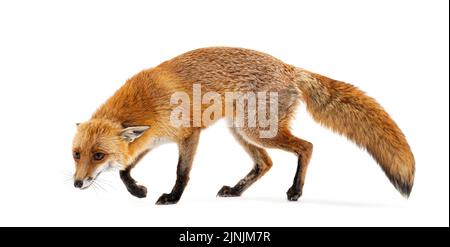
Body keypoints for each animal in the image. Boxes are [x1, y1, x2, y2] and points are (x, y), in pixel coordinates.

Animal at [71, 46, 414, 205]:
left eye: (98, 156)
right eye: (77, 155)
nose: (76, 183)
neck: (148, 102)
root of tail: (289, 67)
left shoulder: (189, 134)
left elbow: (182, 172)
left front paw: (172, 198)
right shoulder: (147, 141)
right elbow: (125, 170)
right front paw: (137, 191)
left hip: (256, 130)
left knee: (306, 146)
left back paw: (296, 190)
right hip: (240, 130)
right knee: (265, 163)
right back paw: (236, 191)